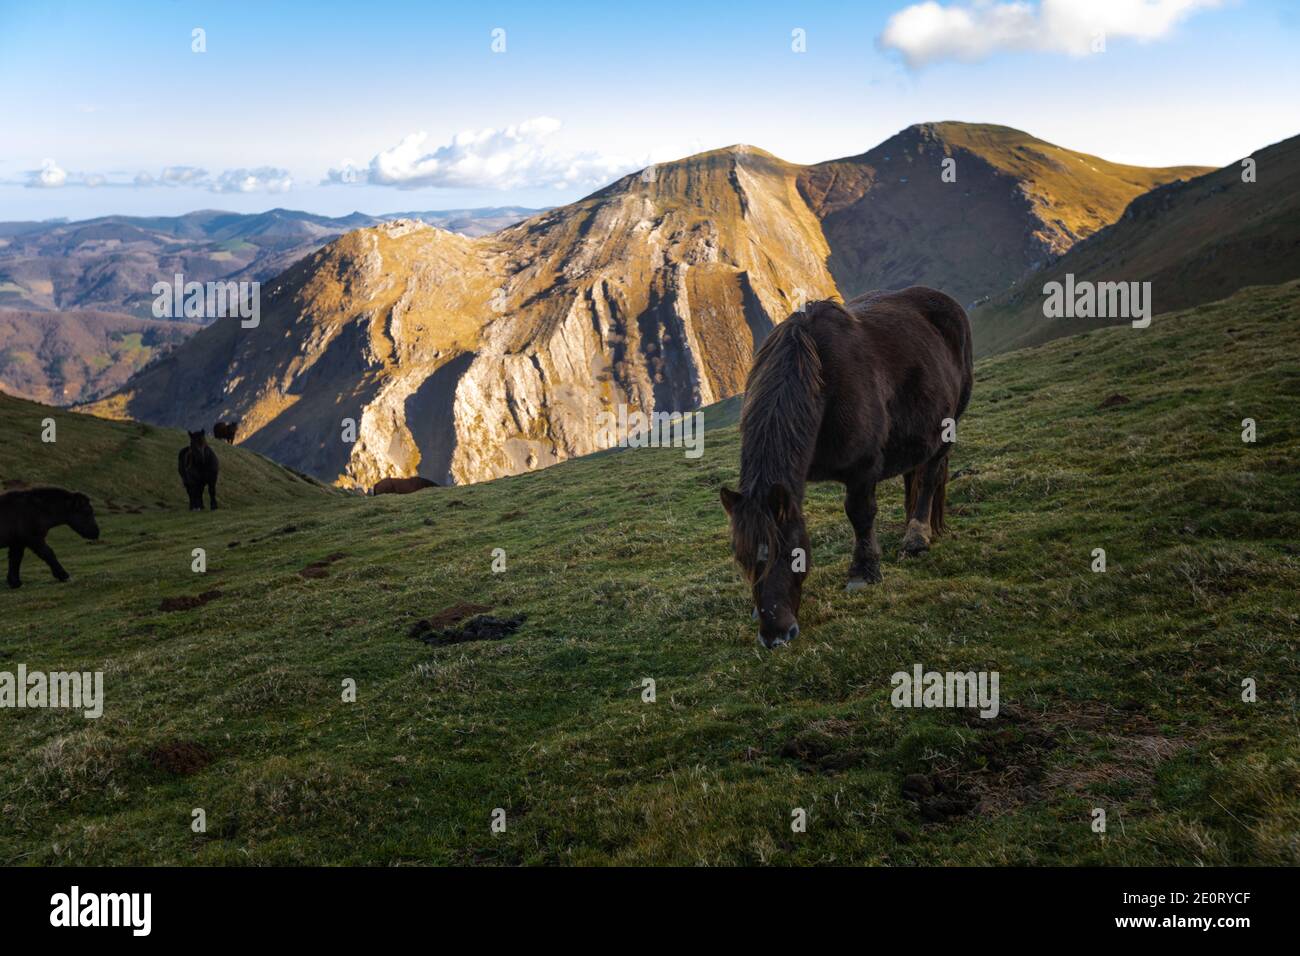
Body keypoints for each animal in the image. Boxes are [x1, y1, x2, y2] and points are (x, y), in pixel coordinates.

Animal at [720, 287, 973, 648]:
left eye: (792, 556)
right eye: (742, 560)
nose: (776, 636)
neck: (820, 379)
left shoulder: (862, 469)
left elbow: (860, 514)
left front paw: (863, 573)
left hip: (948, 428)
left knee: (929, 478)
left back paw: (917, 537)